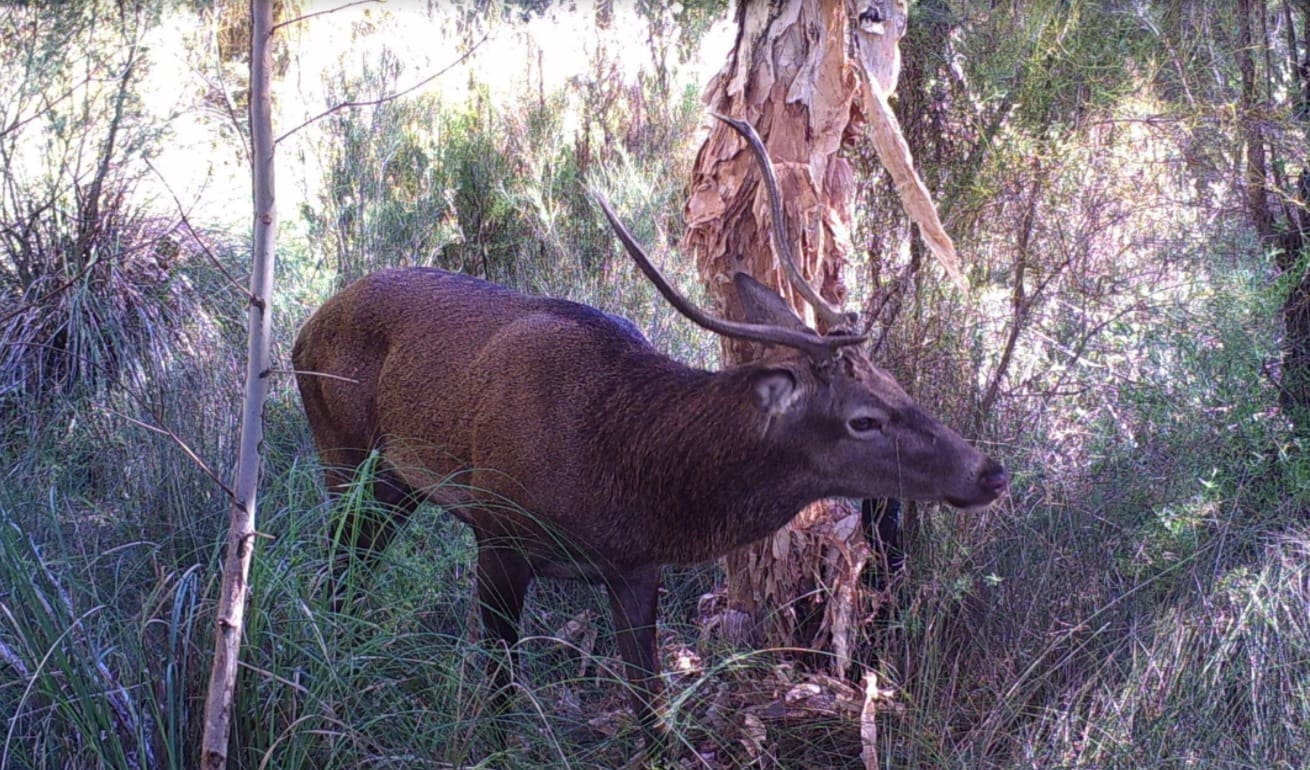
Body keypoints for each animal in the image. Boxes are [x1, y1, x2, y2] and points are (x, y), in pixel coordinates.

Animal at [291, 114, 1008, 760]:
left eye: (896, 384)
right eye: (863, 418)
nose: (988, 472)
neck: (626, 476)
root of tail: (305, 327)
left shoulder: (636, 568)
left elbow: (648, 705)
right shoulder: (498, 532)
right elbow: (499, 690)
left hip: (396, 484)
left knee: (355, 562)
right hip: (341, 450)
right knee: (337, 564)